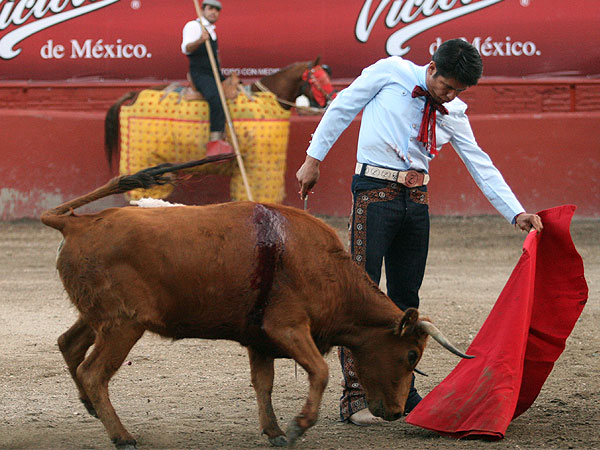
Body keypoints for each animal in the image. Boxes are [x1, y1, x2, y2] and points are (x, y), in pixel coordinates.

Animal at [42, 160, 474, 448]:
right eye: (412, 355)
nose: (398, 410)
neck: (323, 266)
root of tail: (76, 222)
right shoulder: (286, 328)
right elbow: (319, 372)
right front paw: (298, 426)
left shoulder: (259, 340)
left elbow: (263, 384)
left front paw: (276, 432)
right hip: (123, 324)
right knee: (94, 371)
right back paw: (122, 435)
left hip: (101, 319)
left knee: (70, 345)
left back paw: (90, 407)